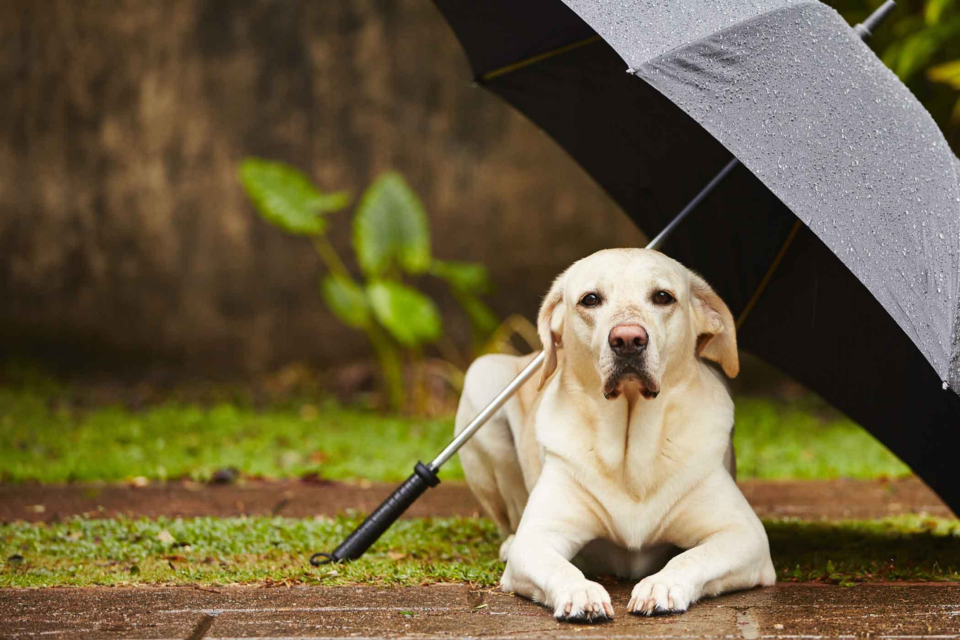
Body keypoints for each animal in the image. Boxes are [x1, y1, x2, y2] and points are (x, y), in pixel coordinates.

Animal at [454, 249, 776, 620]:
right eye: (590, 299)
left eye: (663, 297)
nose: (628, 339)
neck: (629, 446)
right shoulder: (537, 537)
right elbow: (559, 565)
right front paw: (580, 591)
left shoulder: (745, 535)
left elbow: (692, 556)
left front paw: (661, 585)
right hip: (481, 380)